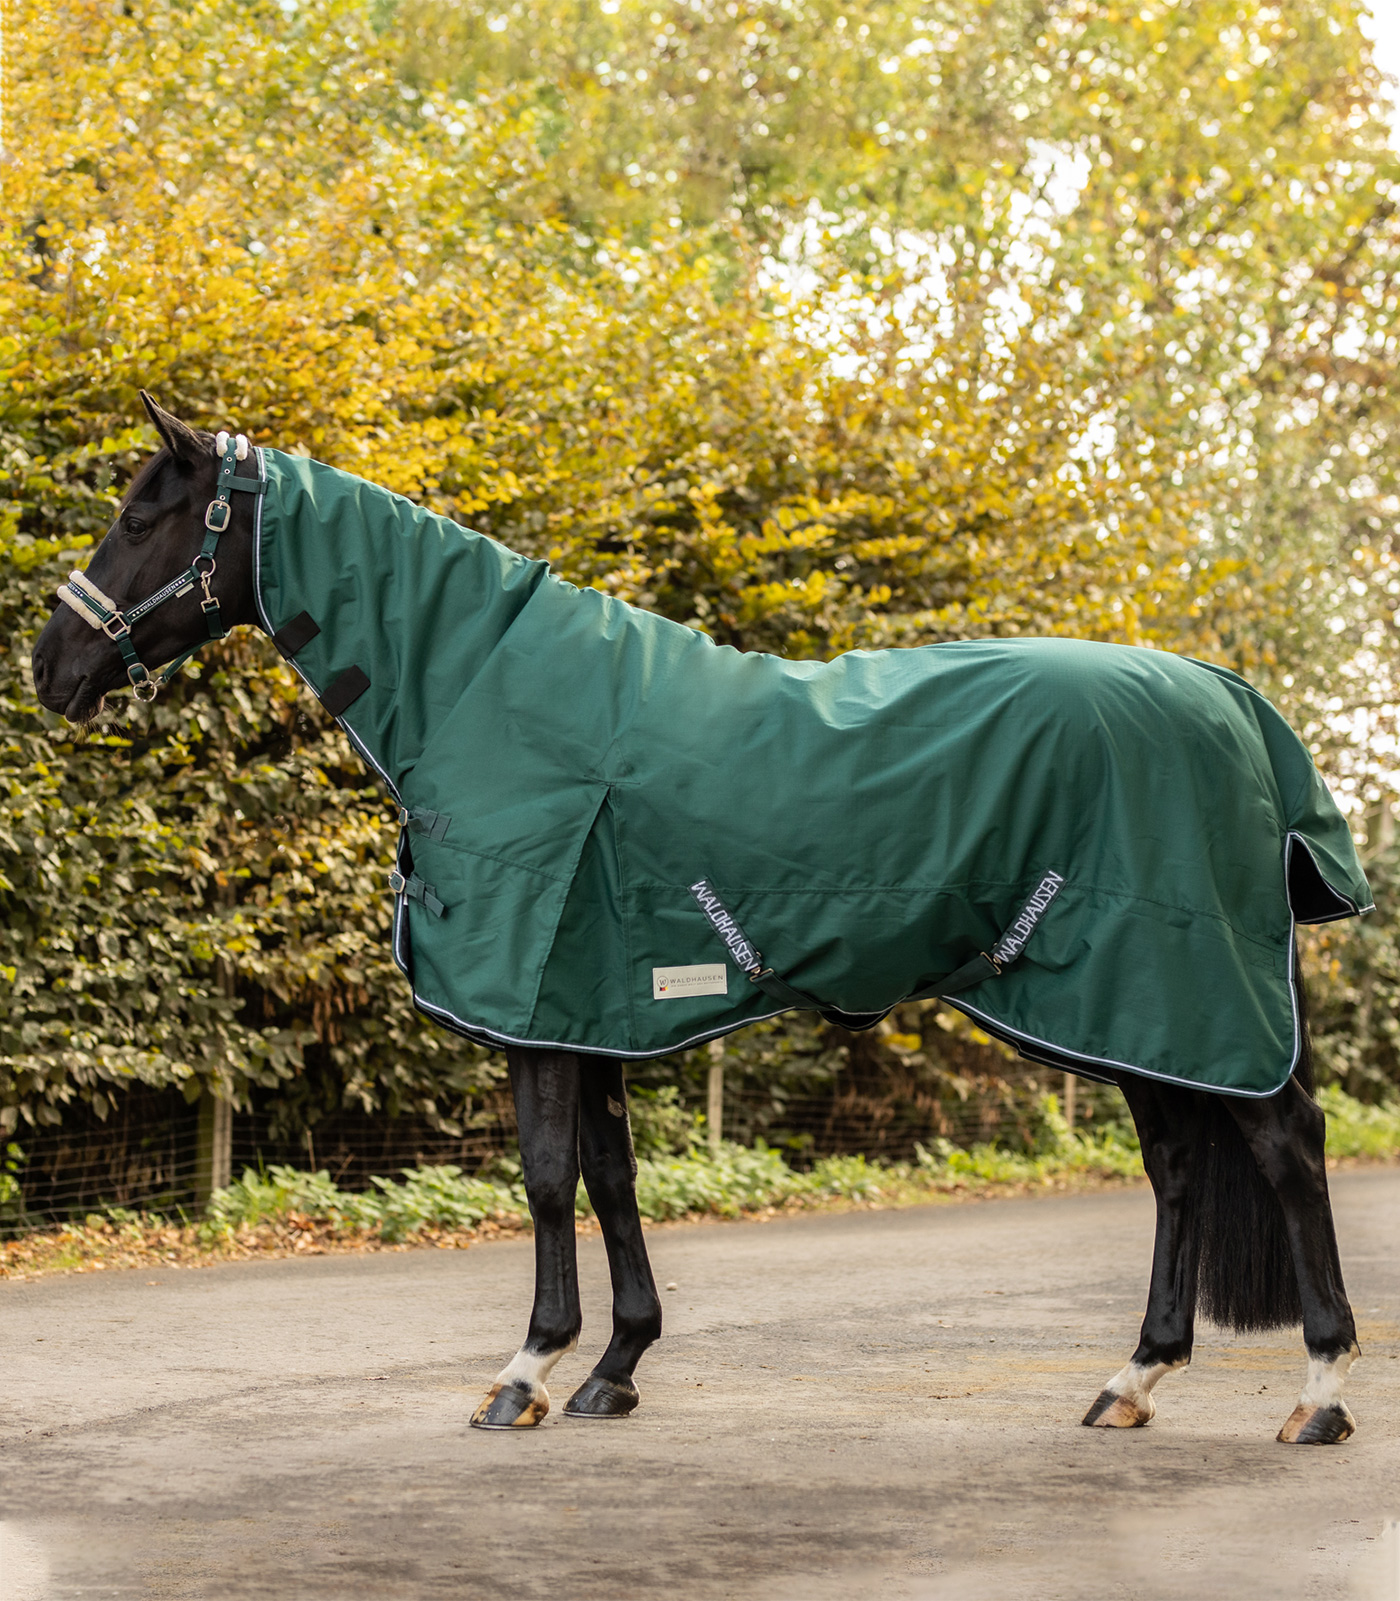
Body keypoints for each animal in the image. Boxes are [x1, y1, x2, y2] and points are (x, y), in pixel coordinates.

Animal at [32, 393, 1358, 1447]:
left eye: (144, 517)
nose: (50, 669)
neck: (485, 685)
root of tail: (1235, 704)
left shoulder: (538, 1005)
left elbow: (547, 1179)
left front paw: (524, 1371)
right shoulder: (591, 1004)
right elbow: (612, 1179)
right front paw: (614, 1365)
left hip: (1177, 986)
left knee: (1285, 1146)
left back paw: (1318, 1391)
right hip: (1129, 1005)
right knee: (1177, 1167)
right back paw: (1132, 1378)